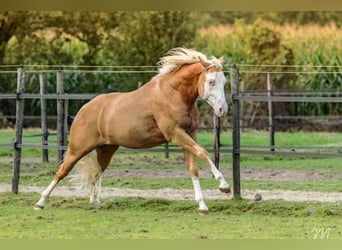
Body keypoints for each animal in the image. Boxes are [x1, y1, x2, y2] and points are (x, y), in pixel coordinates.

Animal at [34, 47, 230, 213]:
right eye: (211, 81)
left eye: (224, 82)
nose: (223, 110)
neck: (173, 94)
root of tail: (84, 109)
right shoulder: (175, 134)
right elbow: (203, 152)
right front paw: (224, 186)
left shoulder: (189, 134)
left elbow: (193, 168)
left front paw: (202, 205)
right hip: (78, 149)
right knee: (62, 171)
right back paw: (40, 202)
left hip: (106, 150)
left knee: (96, 172)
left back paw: (96, 202)